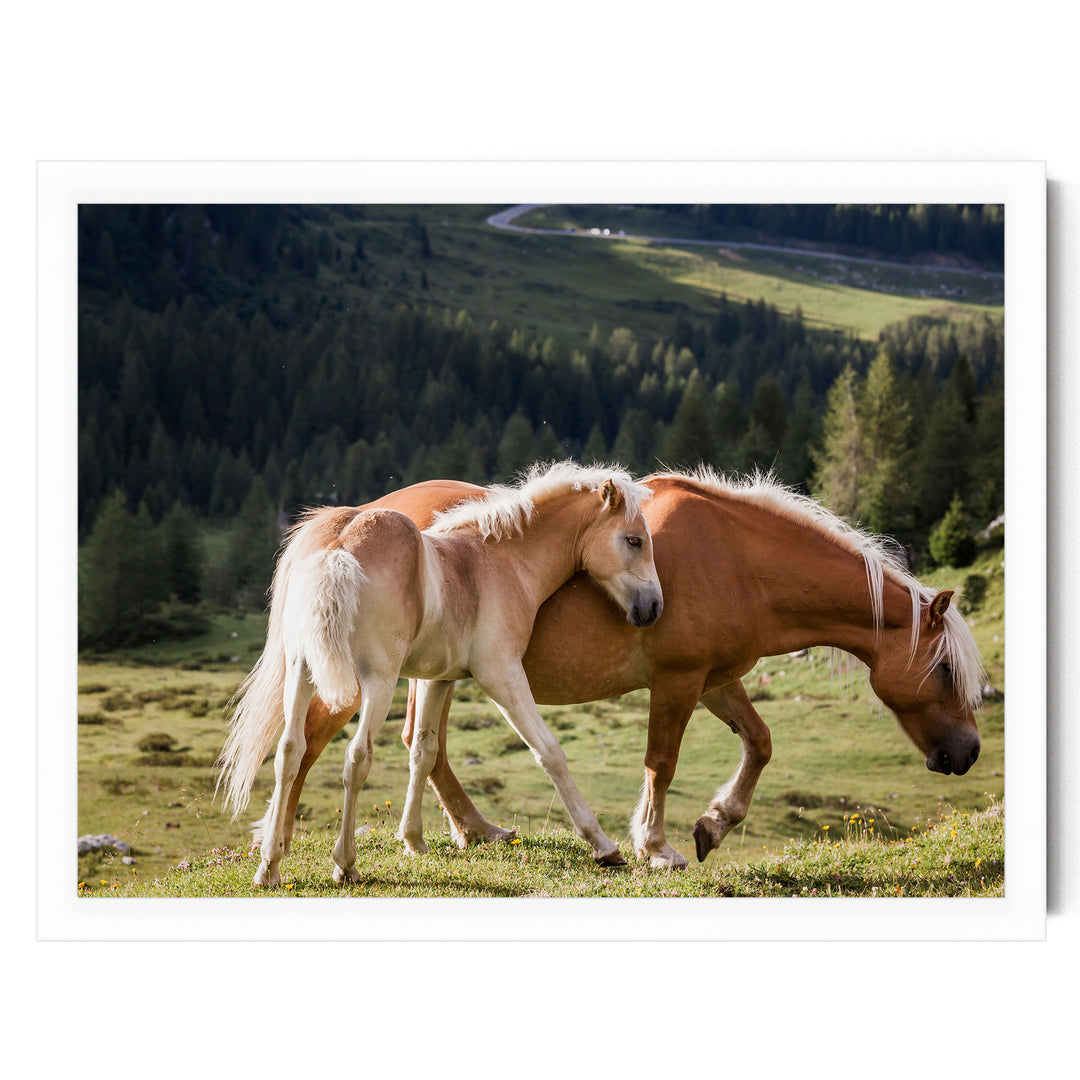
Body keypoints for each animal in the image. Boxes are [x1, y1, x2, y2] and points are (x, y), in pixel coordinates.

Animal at [216, 461, 663, 886]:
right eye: (634, 540)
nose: (654, 607)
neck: (498, 561)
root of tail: (337, 546)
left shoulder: (437, 678)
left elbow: (423, 751)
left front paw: (413, 840)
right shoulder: (501, 675)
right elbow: (550, 752)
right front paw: (603, 845)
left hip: (301, 671)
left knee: (290, 751)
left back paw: (270, 866)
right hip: (376, 681)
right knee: (356, 758)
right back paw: (346, 865)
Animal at [263, 466, 985, 870]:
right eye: (945, 672)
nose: (969, 753)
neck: (739, 560)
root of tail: (348, 523)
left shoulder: (716, 679)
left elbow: (760, 742)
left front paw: (714, 824)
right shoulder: (678, 680)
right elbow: (660, 763)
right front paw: (656, 845)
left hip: (428, 671)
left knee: (422, 747)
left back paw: (473, 833)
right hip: (366, 675)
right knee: (321, 742)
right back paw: (285, 842)